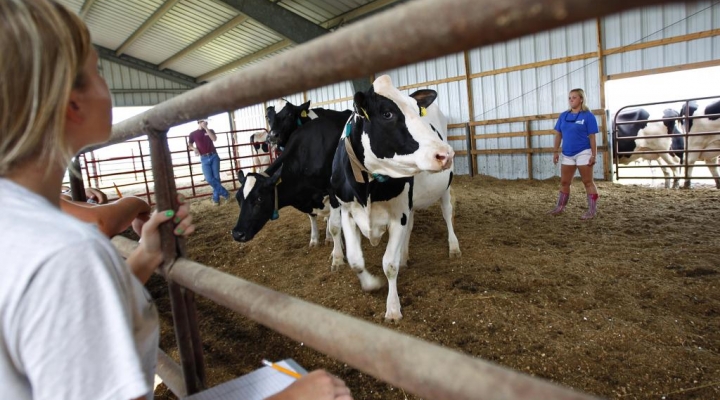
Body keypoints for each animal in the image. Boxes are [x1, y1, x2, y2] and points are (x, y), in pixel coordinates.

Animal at [231, 107, 352, 260]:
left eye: (259, 199)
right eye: (238, 198)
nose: (237, 233)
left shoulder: (332, 191)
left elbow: (335, 226)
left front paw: (337, 255)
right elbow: (313, 216)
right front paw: (315, 239)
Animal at [330, 76, 452, 322]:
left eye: (418, 110)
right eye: (387, 114)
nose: (445, 154)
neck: (368, 189)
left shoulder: (398, 216)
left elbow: (389, 264)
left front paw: (393, 309)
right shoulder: (347, 211)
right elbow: (355, 260)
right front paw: (371, 284)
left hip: (444, 187)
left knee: (448, 212)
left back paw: (454, 246)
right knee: (412, 226)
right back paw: (405, 256)